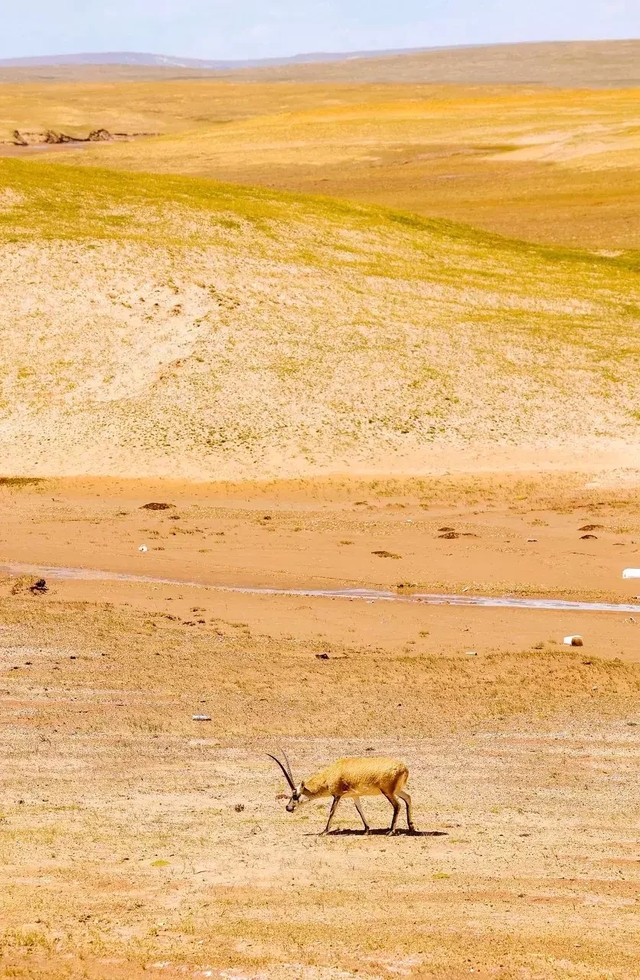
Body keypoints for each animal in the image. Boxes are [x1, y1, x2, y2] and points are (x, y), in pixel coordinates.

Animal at [268, 752, 418, 836]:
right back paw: (411, 827)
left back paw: (391, 832)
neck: (331, 772)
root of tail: (404, 768)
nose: (288, 808)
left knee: (397, 805)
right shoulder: (354, 796)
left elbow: (331, 812)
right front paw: (367, 830)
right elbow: (359, 810)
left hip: (388, 792)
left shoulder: (337, 796)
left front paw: (324, 832)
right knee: (408, 798)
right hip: (396, 791)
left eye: (295, 795)